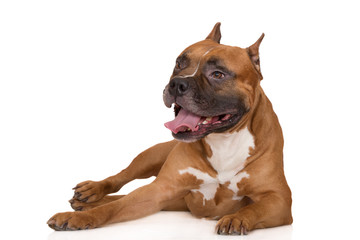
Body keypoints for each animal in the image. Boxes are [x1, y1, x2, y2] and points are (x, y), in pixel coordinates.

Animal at [47, 21, 292, 235]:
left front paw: (236, 218)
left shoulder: (279, 199)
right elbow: (113, 208)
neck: (223, 140)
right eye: (179, 63)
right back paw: (91, 193)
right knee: (122, 180)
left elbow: (253, 208)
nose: (177, 83)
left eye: (218, 74)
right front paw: (79, 218)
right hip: (150, 158)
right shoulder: (159, 190)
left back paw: (84, 203)